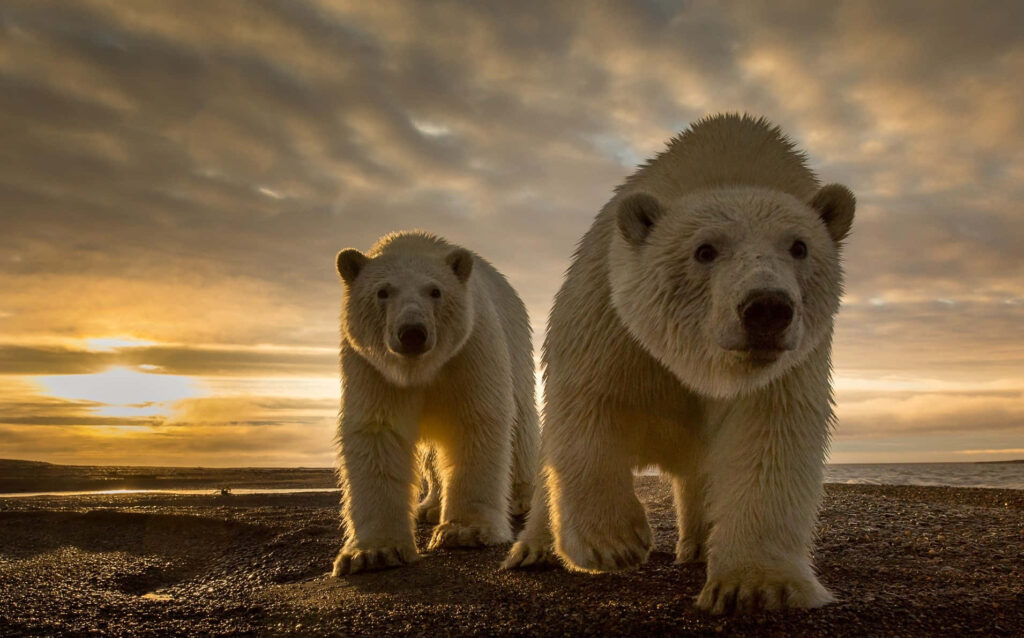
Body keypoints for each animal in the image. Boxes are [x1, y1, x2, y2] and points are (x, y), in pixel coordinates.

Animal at [331, 231, 539, 575]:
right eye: (382, 291)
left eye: (435, 291)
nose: (412, 333)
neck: (420, 369)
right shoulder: (371, 367)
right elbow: (377, 433)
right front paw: (373, 552)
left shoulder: (470, 348)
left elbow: (476, 420)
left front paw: (465, 531)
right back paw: (429, 506)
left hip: (518, 347)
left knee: (522, 423)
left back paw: (521, 498)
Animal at [503, 114, 855, 614]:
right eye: (704, 250)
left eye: (800, 246)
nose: (767, 308)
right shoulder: (609, 316)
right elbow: (589, 403)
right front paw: (614, 543)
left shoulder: (789, 363)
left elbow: (770, 437)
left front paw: (756, 585)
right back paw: (533, 549)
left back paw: (698, 545)